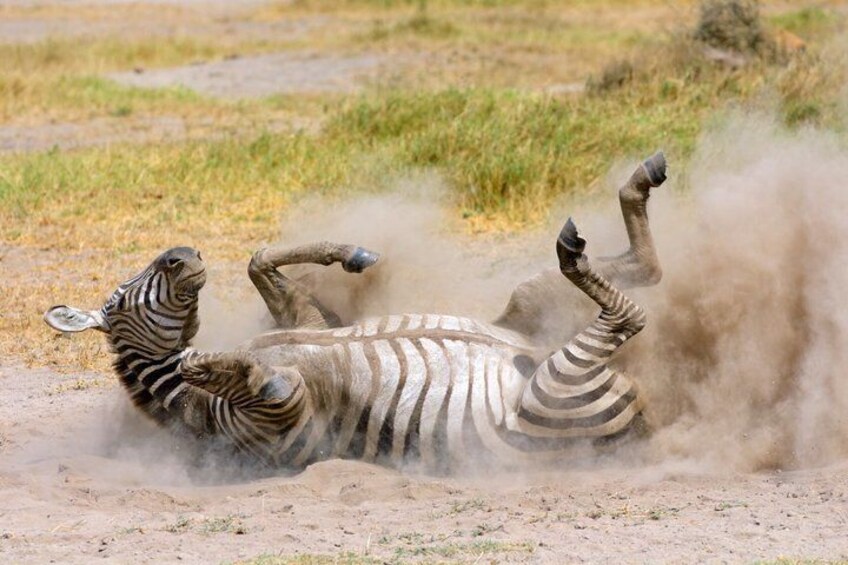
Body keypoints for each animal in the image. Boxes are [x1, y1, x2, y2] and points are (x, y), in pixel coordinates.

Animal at [44, 152, 667, 473]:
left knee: (644, 275)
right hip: (548, 393)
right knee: (630, 315)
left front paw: (353, 254)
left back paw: (636, 185)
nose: (183, 255)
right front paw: (205, 365)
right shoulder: (285, 418)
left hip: (527, 307)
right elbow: (257, 377)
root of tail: (645, 420)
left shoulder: (307, 322)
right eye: (118, 297)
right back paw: (581, 247)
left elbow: (258, 261)